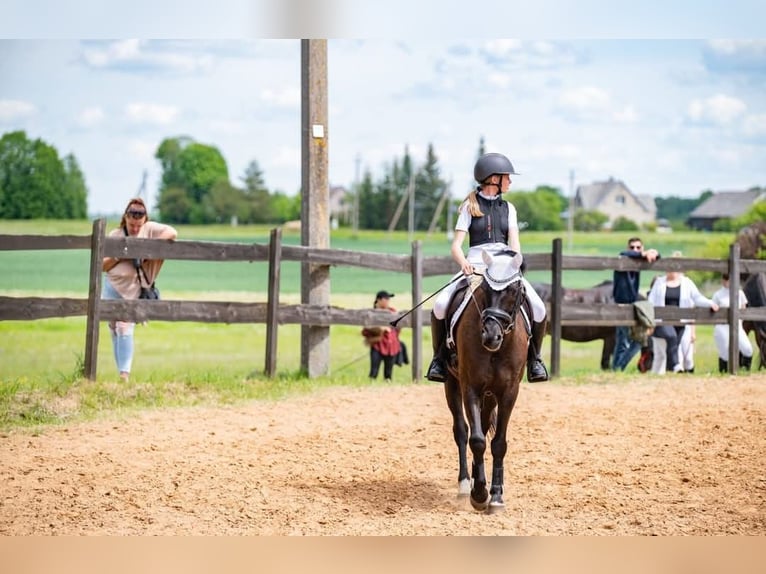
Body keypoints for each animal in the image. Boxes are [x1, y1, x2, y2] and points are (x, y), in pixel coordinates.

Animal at [442, 249, 529, 513]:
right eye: (485, 290)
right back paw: (465, 484)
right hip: (452, 385)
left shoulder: (509, 393)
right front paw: (479, 494)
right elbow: (477, 440)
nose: (491, 336)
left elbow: (499, 443)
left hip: (490, 396)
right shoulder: (469, 387)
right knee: (462, 431)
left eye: (514, 290)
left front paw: (496, 495)